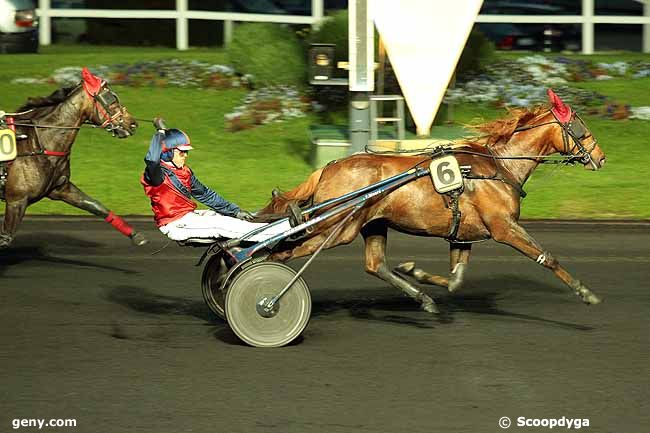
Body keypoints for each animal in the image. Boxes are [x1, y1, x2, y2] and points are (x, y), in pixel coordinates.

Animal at [0, 69, 146, 248]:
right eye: (111, 99)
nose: (132, 123)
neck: (38, 143)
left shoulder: (61, 188)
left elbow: (95, 205)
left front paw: (136, 235)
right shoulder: (16, 200)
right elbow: (5, 238)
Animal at [256, 92, 604, 314]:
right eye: (582, 129)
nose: (600, 157)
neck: (497, 166)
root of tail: (329, 167)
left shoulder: (464, 235)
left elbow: (455, 280)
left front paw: (417, 272)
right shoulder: (503, 227)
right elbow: (547, 256)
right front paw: (585, 292)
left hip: (371, 224)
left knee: (375, 265)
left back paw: (422, 297)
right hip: (337, 228)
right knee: (284, 250)